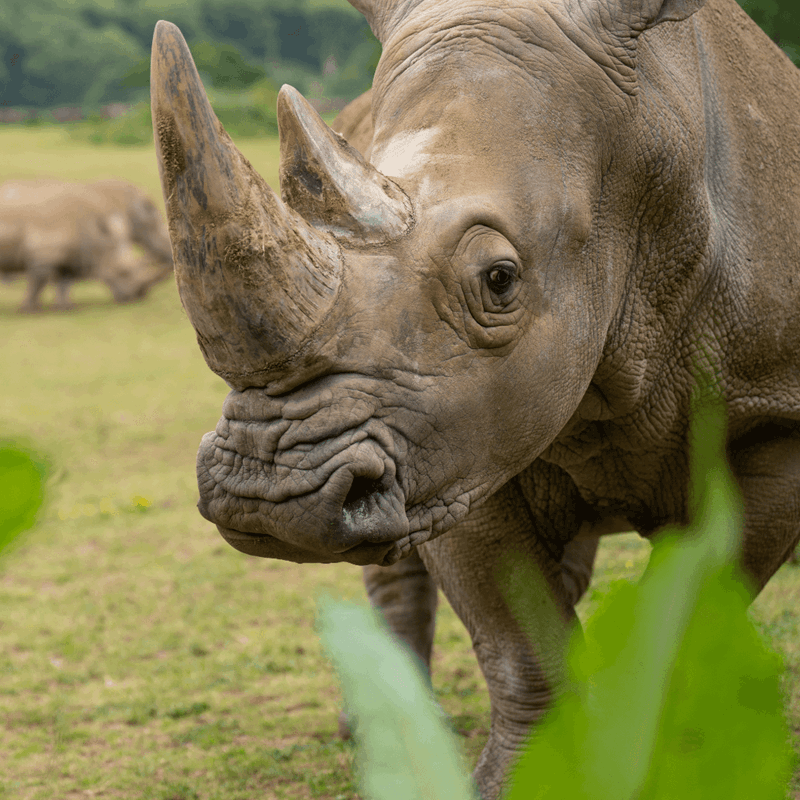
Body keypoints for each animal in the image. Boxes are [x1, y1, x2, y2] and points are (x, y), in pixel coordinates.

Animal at [0, 179, 172, 311]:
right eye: (123, 272)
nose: (138, 296)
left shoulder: (70, 254)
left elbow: (64, 280)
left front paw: (65, 307)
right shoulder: (43, 254)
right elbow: (38, 282)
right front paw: (28, 309)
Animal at [150, 0, 800, 794]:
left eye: (499, 279)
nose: (267, 497)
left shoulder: (775, 422)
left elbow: (694, 605)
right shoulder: (447, 443)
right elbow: (515, 631)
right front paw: (530, 776)